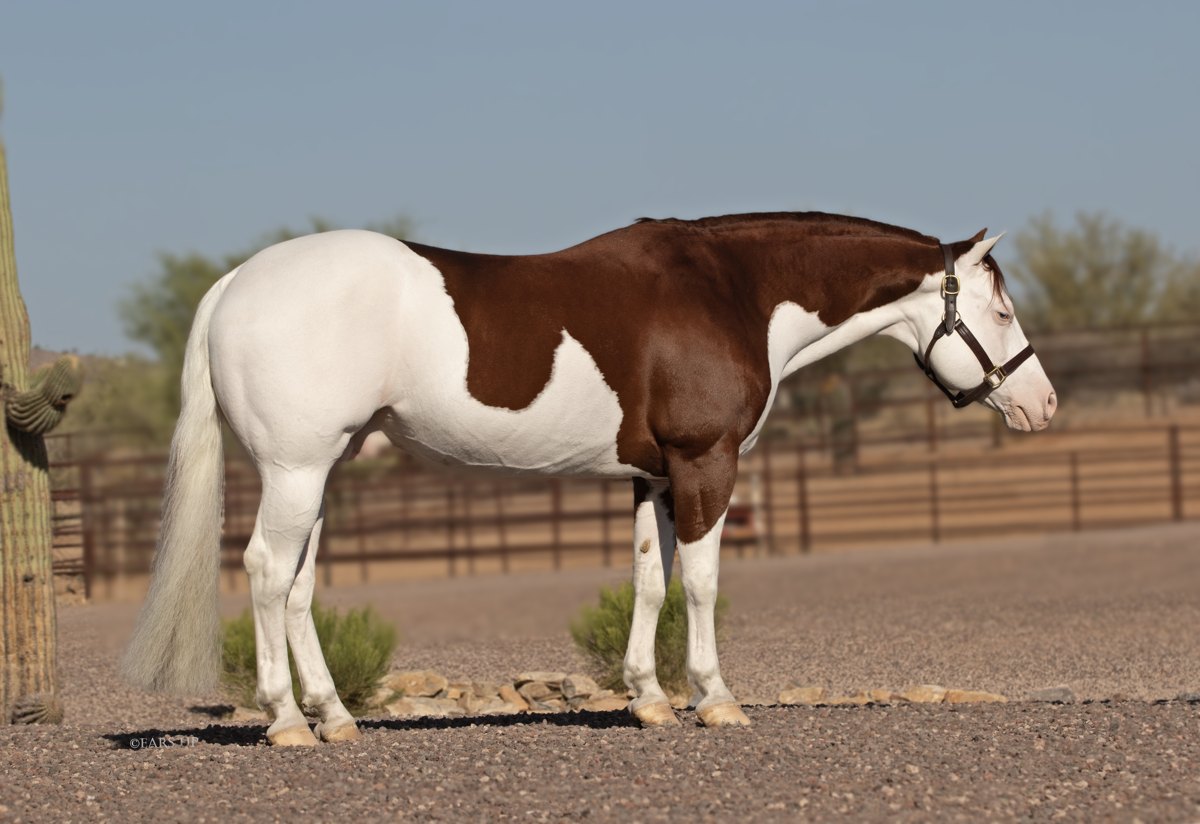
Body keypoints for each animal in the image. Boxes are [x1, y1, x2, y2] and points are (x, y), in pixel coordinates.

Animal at [121, 212, 1056, 745]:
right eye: (1003, 309)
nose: (1042, 405)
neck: (733, 291)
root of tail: (237, 283)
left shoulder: (653, 478)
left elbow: (649, 581)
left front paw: (648, 700)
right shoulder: (706, 463)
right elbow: (703, 585)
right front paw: (715, 700)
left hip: (322, 473)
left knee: (299, 587)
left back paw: (337, 719)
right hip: (295, 470)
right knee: (266, 574)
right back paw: (286, 723)